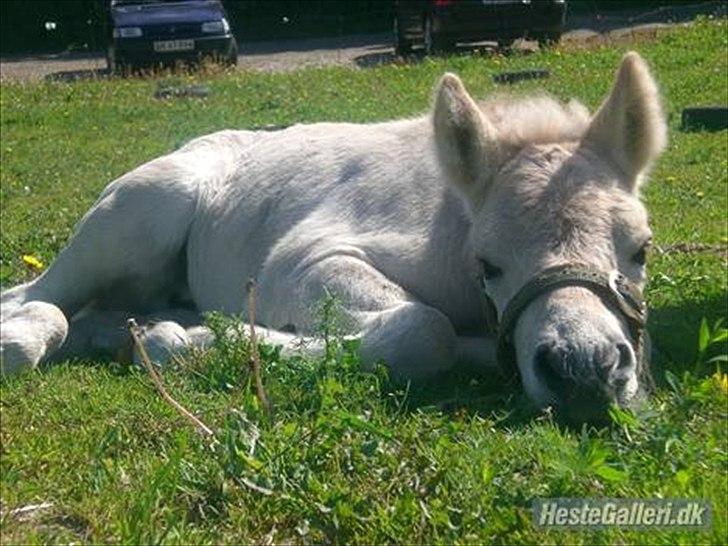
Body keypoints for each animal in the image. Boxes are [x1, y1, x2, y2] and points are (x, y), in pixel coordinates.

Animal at [0, 53, 664, 418]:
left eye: (641, 249)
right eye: (489, 264)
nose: (584, 370)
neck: (448, 226)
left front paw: (175, 338)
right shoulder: (303, 260)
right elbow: (425, 329)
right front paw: (189, 341)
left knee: (86, 313)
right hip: (141, 212)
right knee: (35, 296)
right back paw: (30, 339)